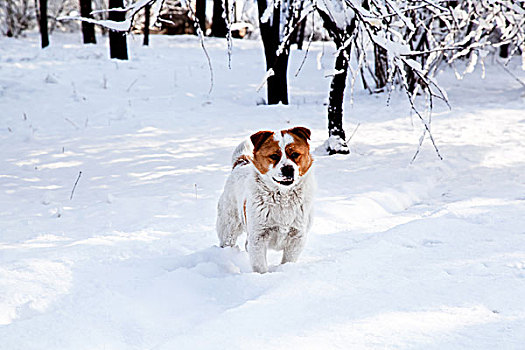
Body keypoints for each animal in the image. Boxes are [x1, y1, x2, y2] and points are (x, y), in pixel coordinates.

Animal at [215, 126, 314, 274]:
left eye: (295, 154)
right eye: (274, 156)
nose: (288, 169)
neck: (282, 198)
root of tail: (240, 163)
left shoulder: (297, 237)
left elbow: (288, 261)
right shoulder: (258, 237)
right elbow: (260, 266)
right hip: (228, 226)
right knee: (228, 240)